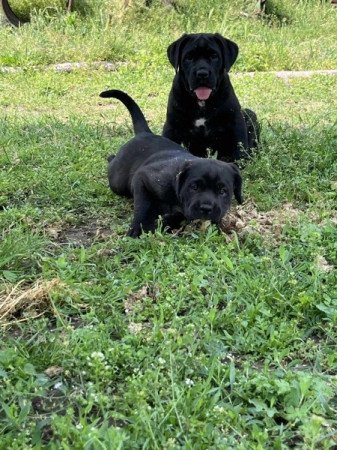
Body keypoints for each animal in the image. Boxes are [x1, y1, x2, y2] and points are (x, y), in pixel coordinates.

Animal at [98, 87, 243, 236]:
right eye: (194, 187)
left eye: (223, 191)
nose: (206, 208)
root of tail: (145, 133)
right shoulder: (142, 178)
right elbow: (143, 206)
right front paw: (138, 228)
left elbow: (180, 215)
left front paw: (167, 222)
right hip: (118, 181)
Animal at [161, 33, 258, 163]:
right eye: (189, 58)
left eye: (214, 56)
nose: (202, 74)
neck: (202, 102)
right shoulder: (172, 126)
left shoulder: (235, 122)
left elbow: (238, 149)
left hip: (249, 114)